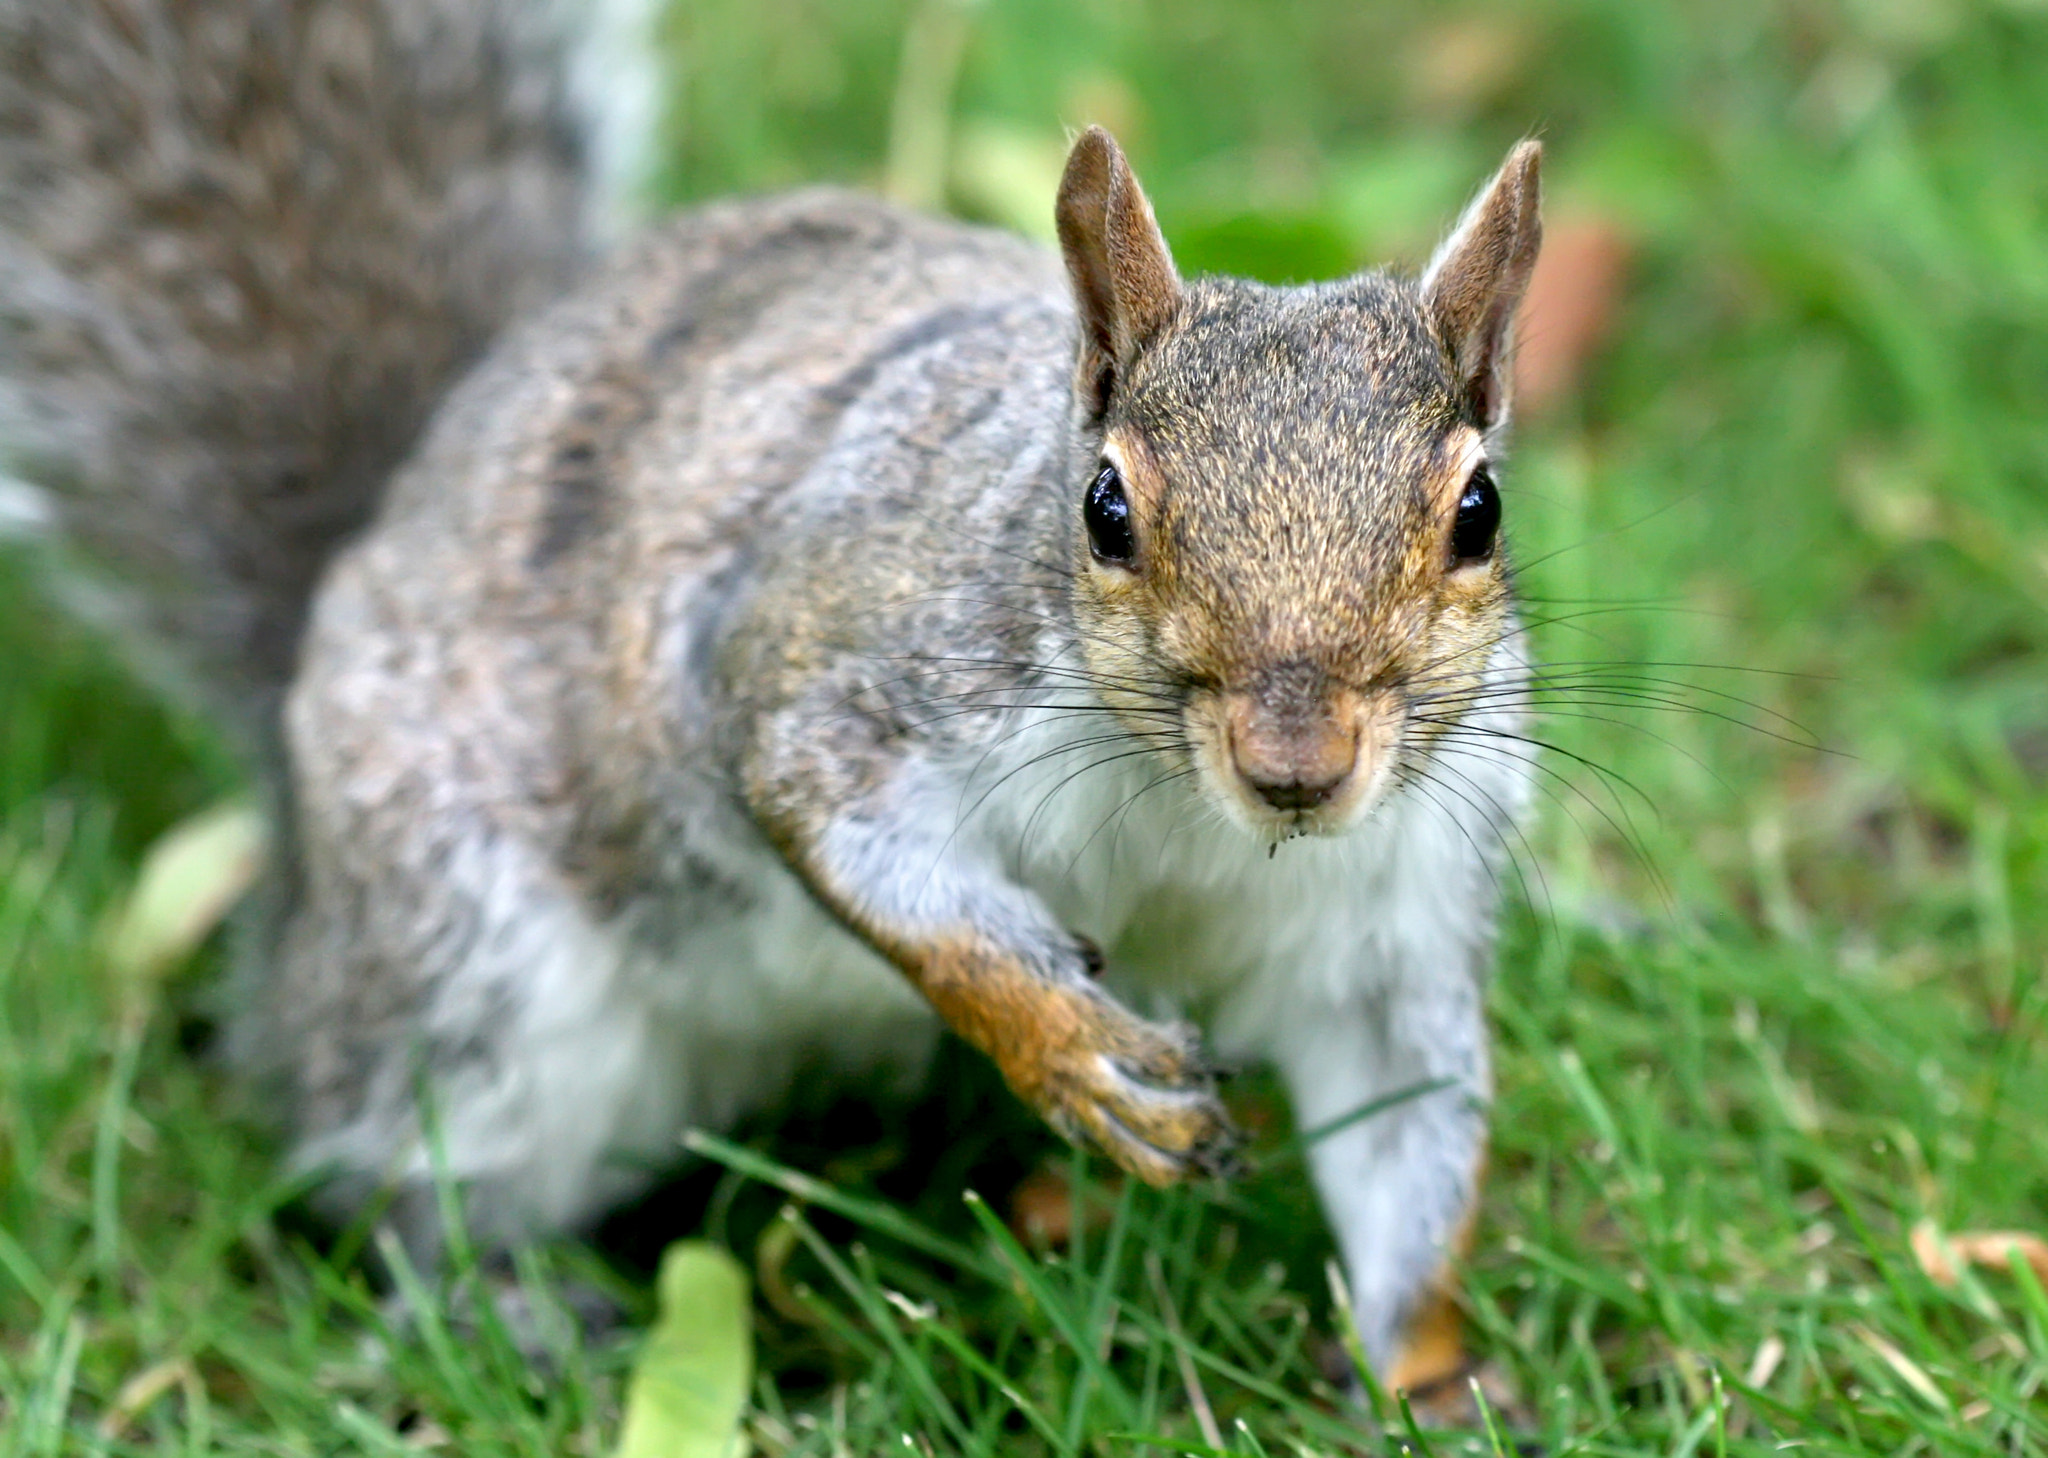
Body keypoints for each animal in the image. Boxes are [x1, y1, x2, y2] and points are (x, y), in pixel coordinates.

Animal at [1, 0, 1541, 1390]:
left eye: (1480, 511)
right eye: (1105, 509)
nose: (1298, 762)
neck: (1196, 822)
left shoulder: (1391, 918)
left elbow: (1409, 1139)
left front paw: (1423, 1383)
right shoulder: (820, 660)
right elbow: (839, 831)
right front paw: (1065, 1050)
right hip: (466, 960)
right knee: (408, 1163)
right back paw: (503, 1308)